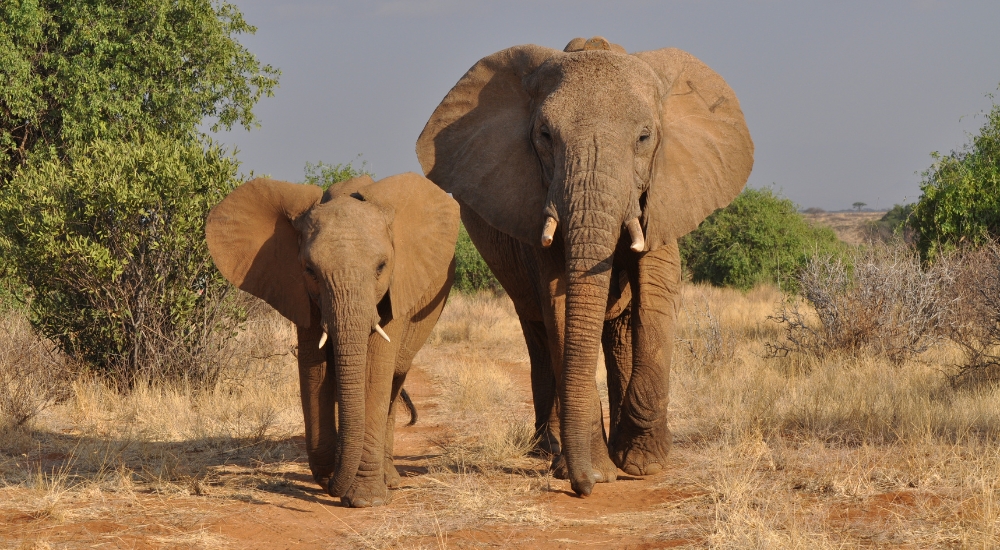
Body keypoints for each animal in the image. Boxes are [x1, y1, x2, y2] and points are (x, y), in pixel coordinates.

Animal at [205, 172, 459, 507]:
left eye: (381, 267)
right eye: (310, 270)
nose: (329, 484)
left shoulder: (397, 287)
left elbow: (375, 369)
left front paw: (364, 499)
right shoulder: (299, 291)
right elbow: (315, 369)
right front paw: (333, 479)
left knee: (394, 380)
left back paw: (389, 480)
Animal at [417, 36, 753, 497]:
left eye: (644, 137)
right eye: (544, 135)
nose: (584, 487)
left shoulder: (665, 193)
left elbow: (658, 295)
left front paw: (642, 463)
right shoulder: (534, 200)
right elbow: (560, 305)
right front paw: (595, 470)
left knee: (622, 331)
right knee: (539, 332)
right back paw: (548, 450)